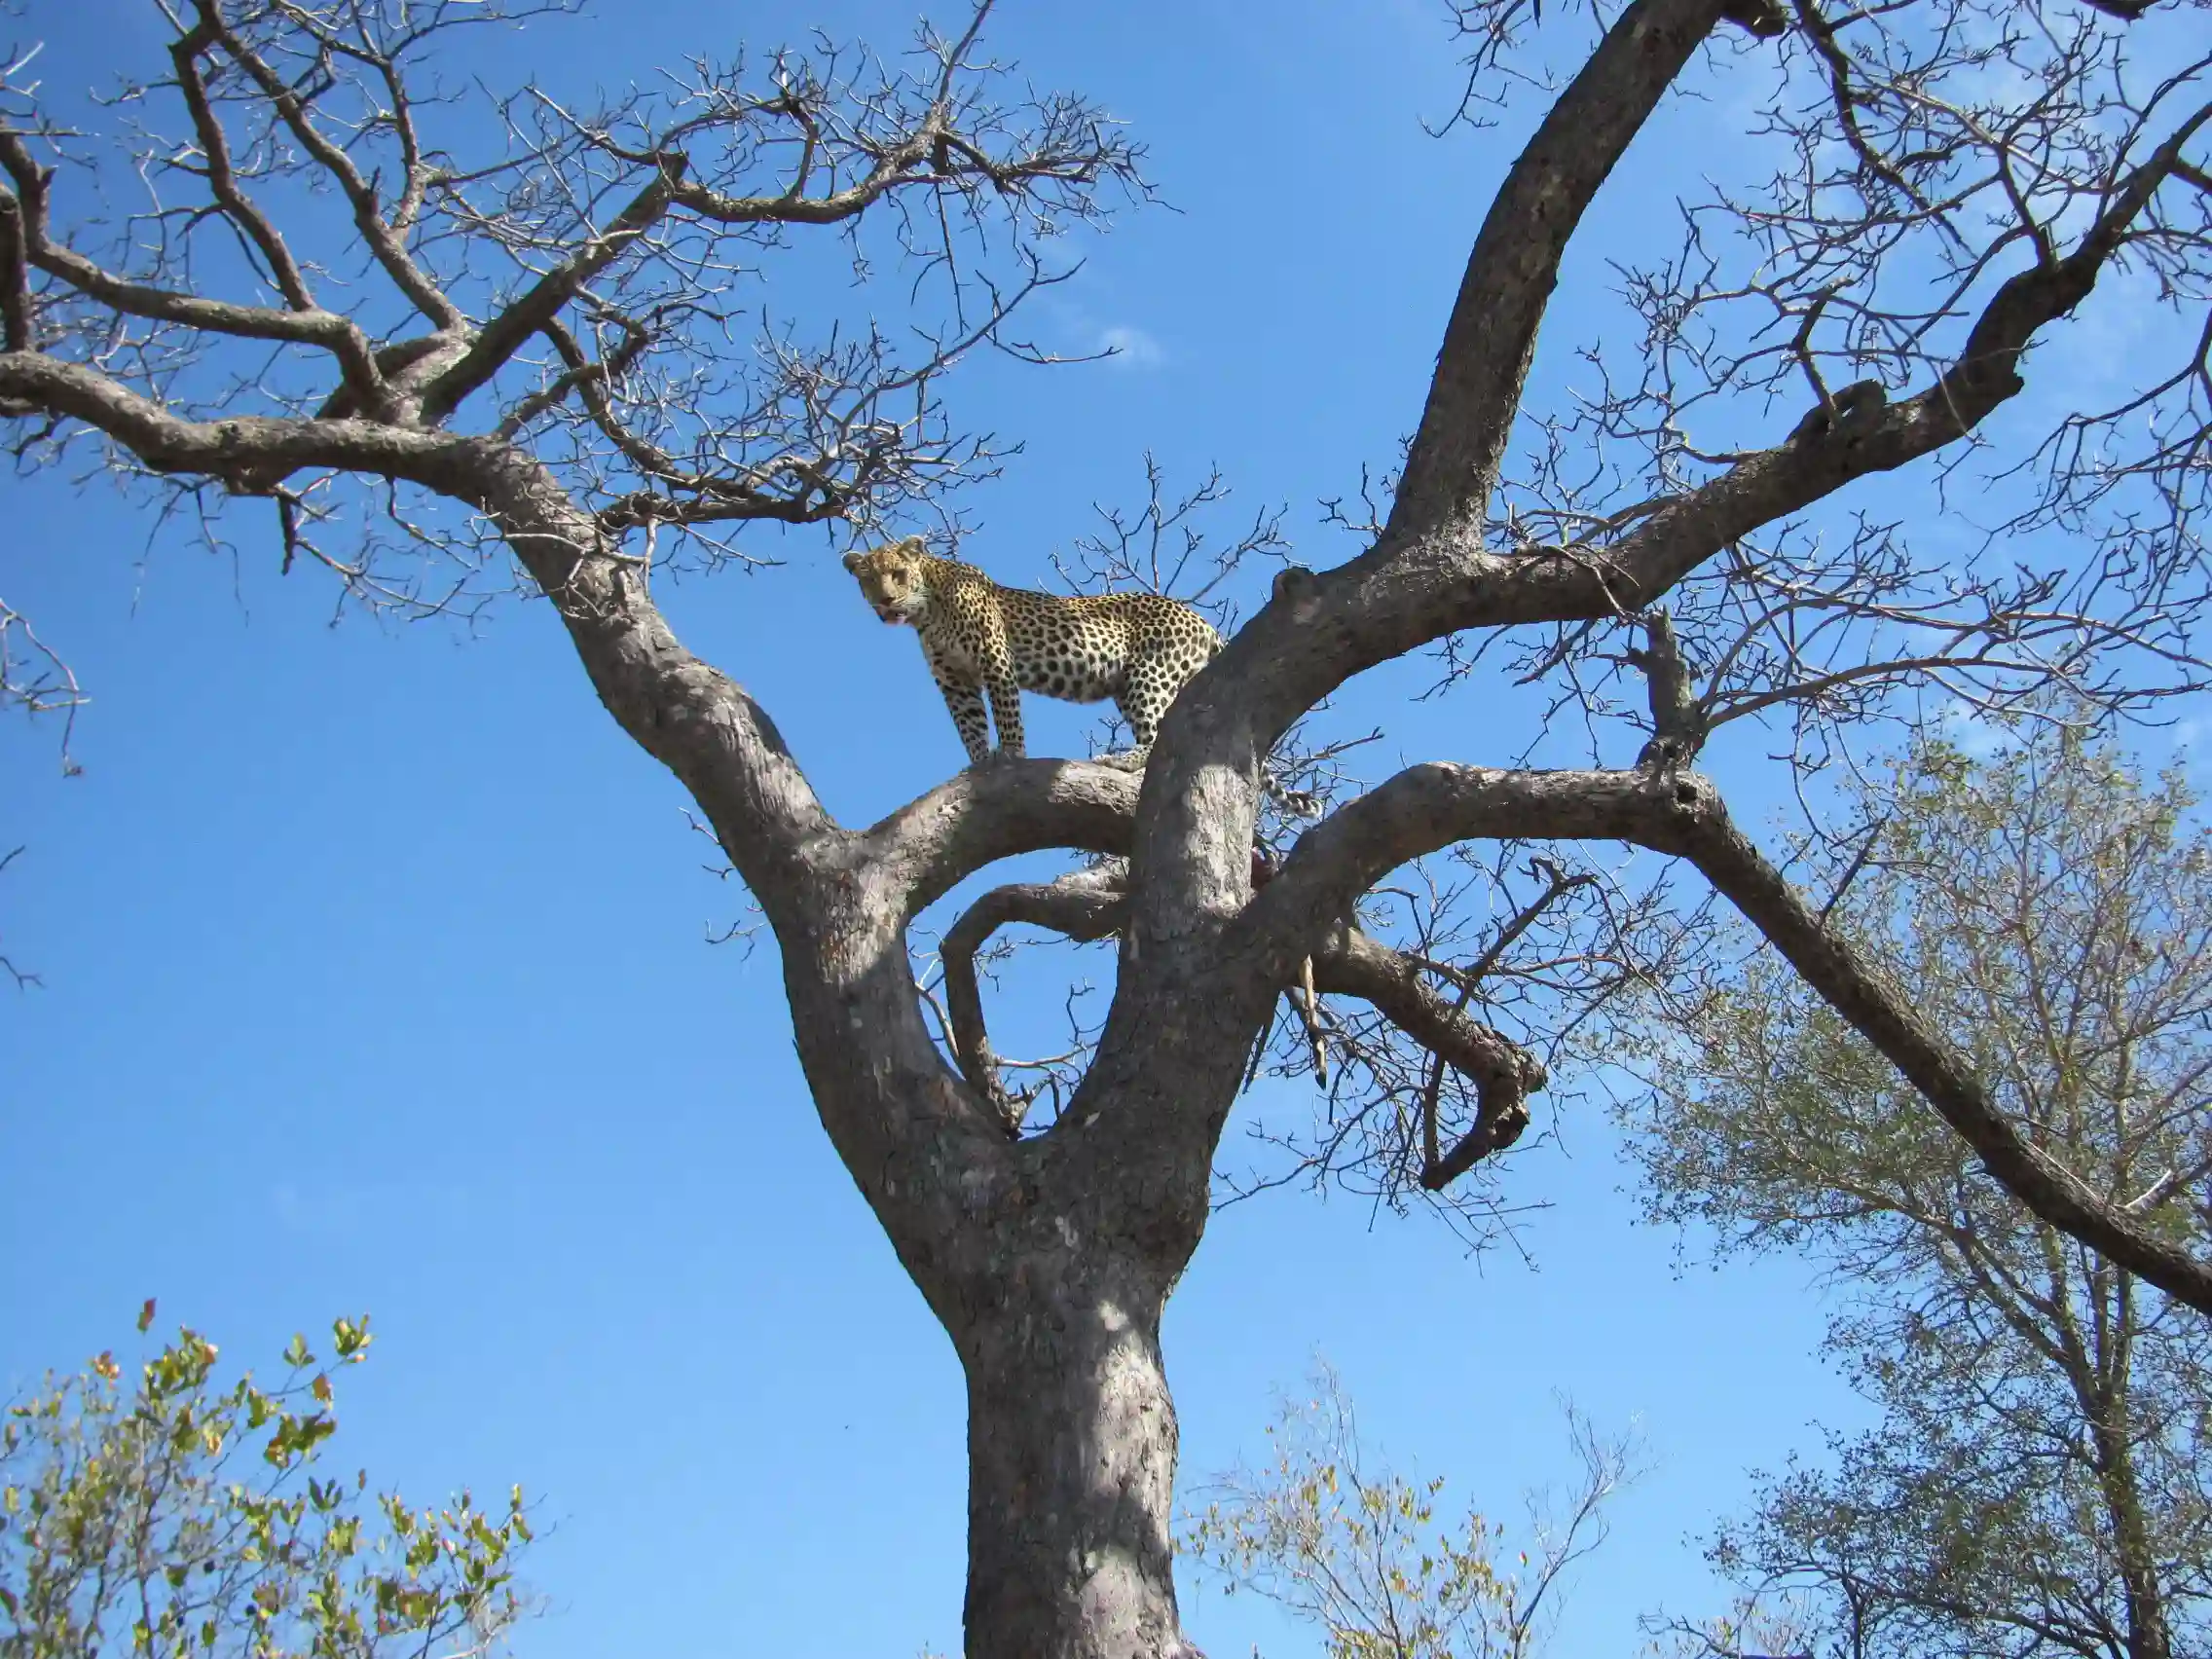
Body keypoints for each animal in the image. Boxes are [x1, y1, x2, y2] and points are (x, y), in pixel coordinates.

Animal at [840, 541, 1230, 769]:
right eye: (869, 580)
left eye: (898, 574)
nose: (886, 600)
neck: (928, 612)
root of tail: (1203, 622)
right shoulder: (954, 680)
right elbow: (969, 723)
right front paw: (978, 761)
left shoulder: (992, 656)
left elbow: (1005, 711)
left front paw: (1011, 753)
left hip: (1151, 672)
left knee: (1160, 730)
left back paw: (1125, 760)